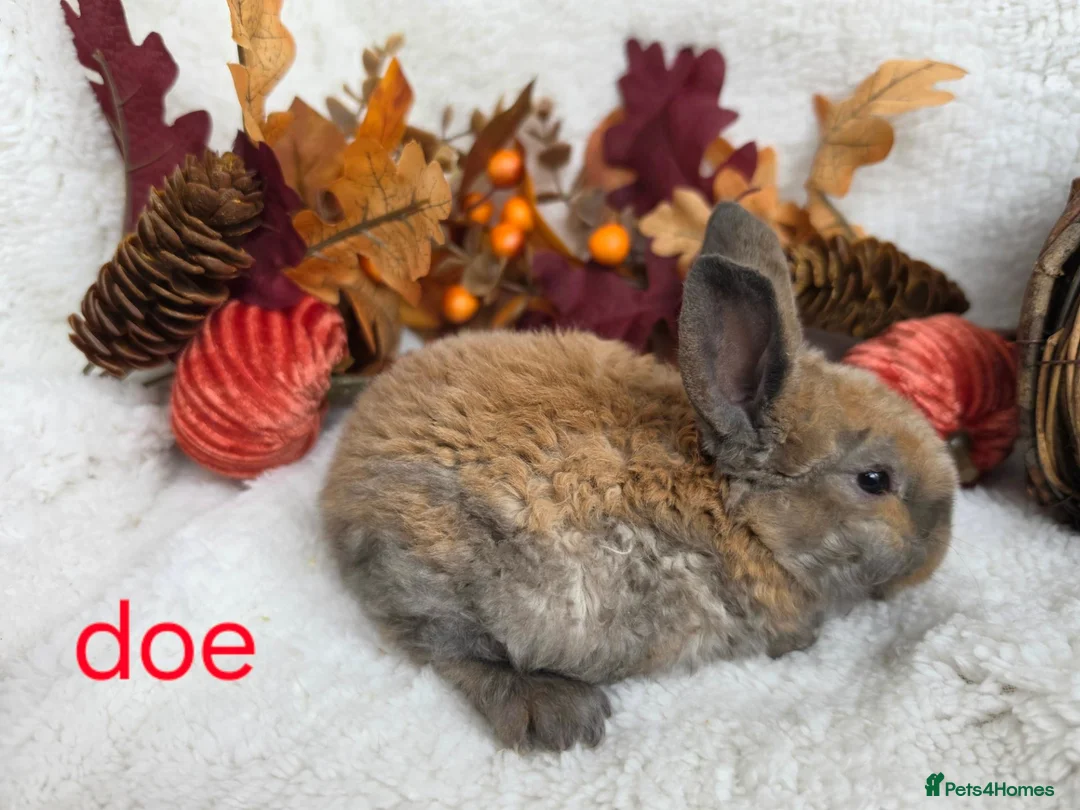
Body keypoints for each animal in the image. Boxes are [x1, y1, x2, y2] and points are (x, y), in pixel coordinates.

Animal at [321, 202, 957, 752]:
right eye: (874, 480)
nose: (938, 550)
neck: (741, 515)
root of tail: (341, 480)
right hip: (456, 581)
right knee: (453, 652)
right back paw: (560, 713)